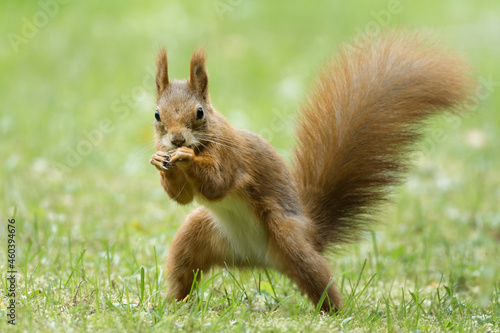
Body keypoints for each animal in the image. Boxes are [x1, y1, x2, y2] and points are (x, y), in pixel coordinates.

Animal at [147, 31, 472, 312]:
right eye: (157, 114)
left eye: (199, 113)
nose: (177, 140)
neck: (206, 139)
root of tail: (257, 259)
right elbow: (182, 197)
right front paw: (160, 161)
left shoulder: (232, 159)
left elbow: (217, 184)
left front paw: (187, 157)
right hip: (196, 235)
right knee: (184, 269)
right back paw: (173, 305)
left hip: (289, 237)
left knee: (317, 277)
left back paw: (333, 312)